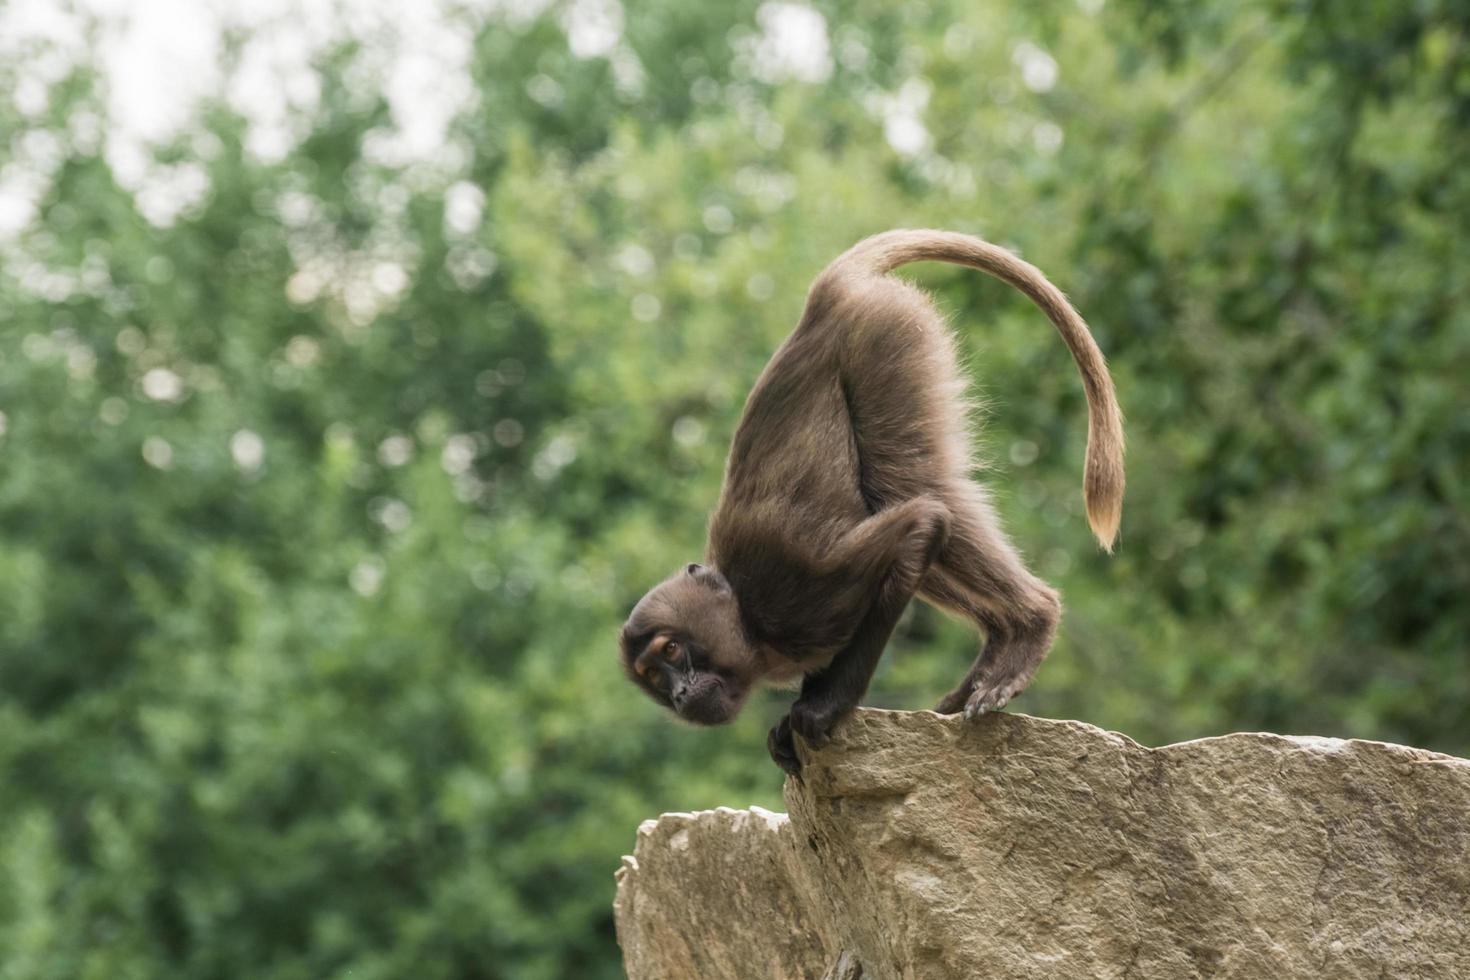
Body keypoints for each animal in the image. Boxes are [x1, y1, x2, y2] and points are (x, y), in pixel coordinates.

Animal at [614, 230, 1117, 775]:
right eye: (654, 675)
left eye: (672, 650)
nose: (681, 695)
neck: (746, 617)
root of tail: (828, 293)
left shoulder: (796, 590)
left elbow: (922, 521)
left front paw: (822, 708)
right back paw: (1001, 642)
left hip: (886, 334)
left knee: (912, 484)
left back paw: (1031, 624)